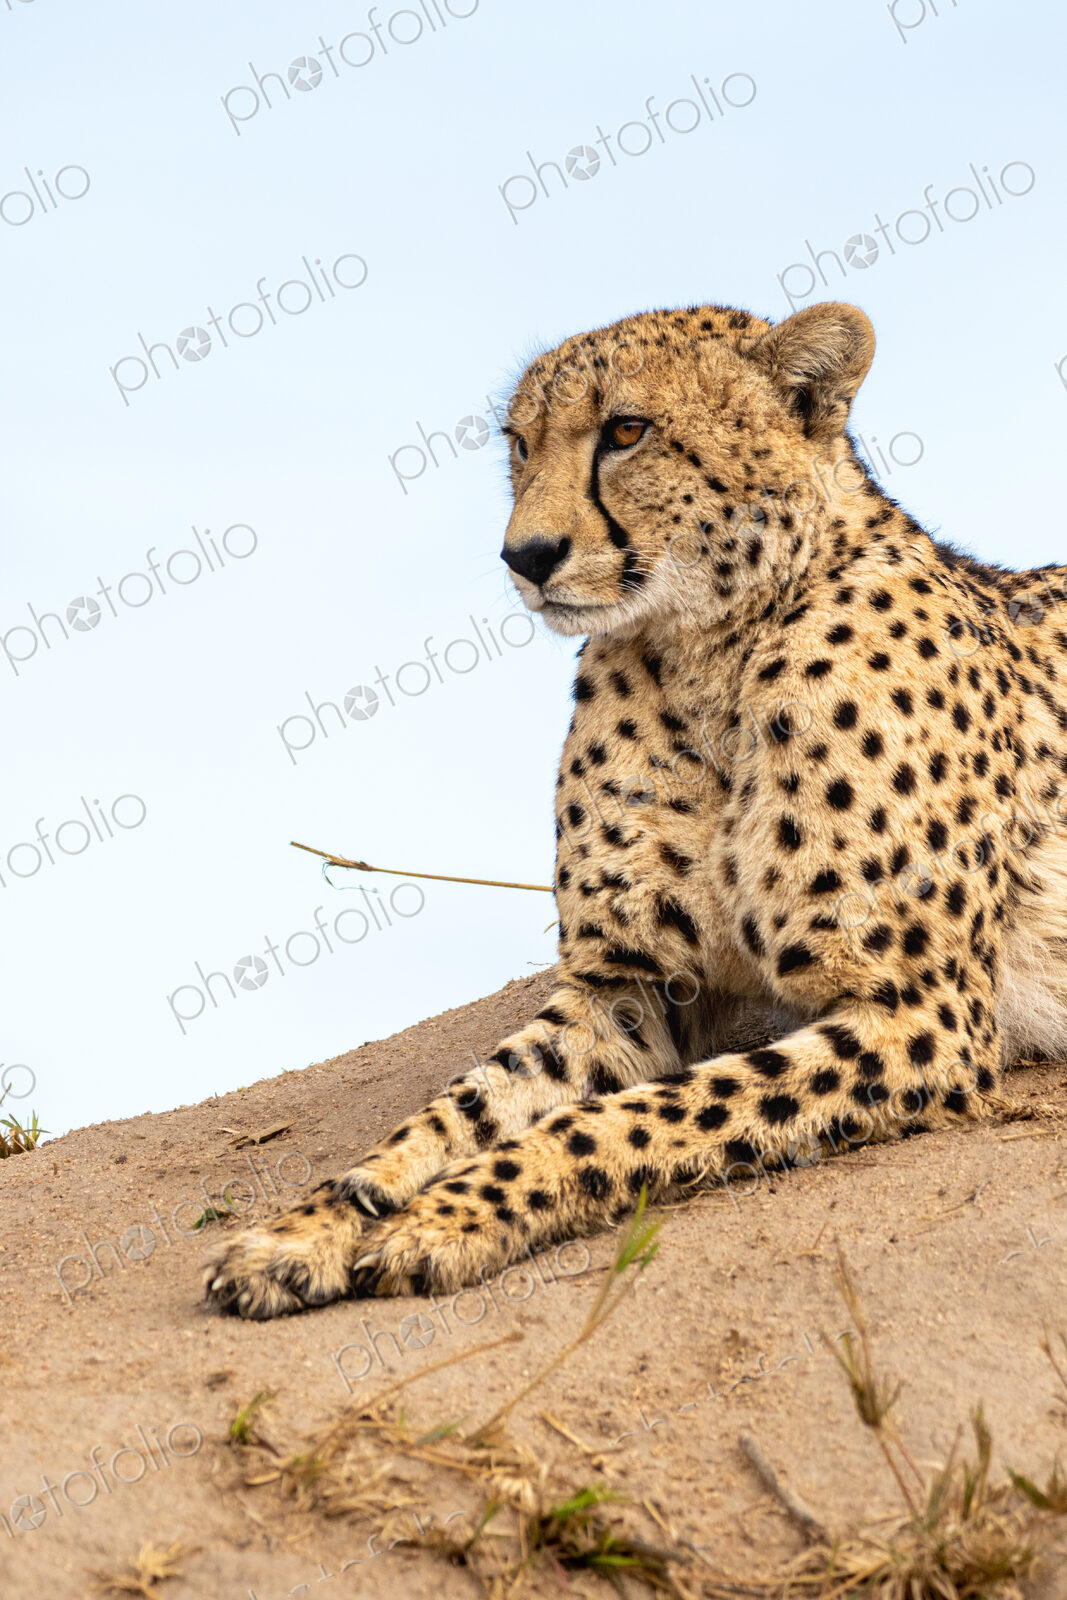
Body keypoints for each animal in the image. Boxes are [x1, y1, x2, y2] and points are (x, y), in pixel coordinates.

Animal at [205, 298, 1067, 1319]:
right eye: (519, 444)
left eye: (624, 432)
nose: (525, 556)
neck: (710, 657)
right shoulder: (627, 984)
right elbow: (458, 1107)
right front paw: (312, 1225)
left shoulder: (917, 1011)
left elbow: (628, 1118)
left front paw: (449, 1218)